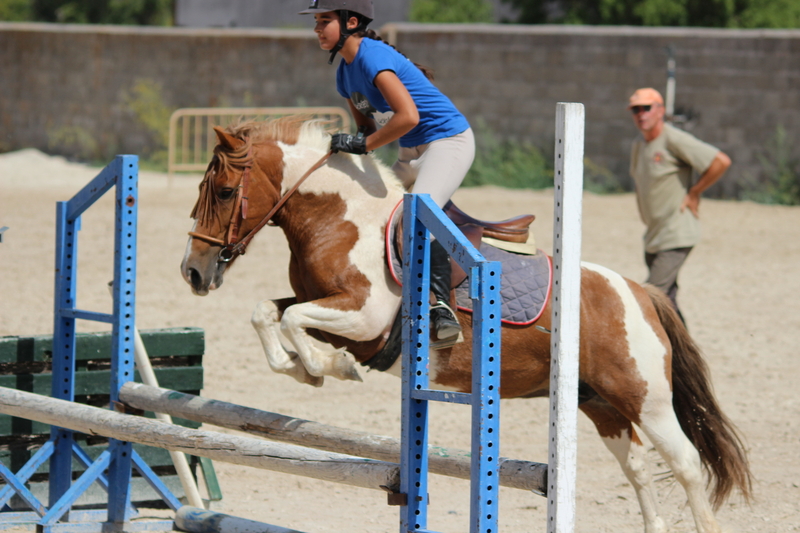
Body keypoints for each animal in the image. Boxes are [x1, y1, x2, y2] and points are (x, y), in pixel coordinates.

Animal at [180, 117, 752, 533]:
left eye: (225, 192)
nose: (193, 272)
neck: (338, 220)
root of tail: (641, 292)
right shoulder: (332, 310)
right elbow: (269, 312)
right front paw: (305, 367)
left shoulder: (363, 317)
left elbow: (295, 319)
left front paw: (328, 366)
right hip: (599, 403)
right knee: (635, 465)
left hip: (645, 397)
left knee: (685, 464)